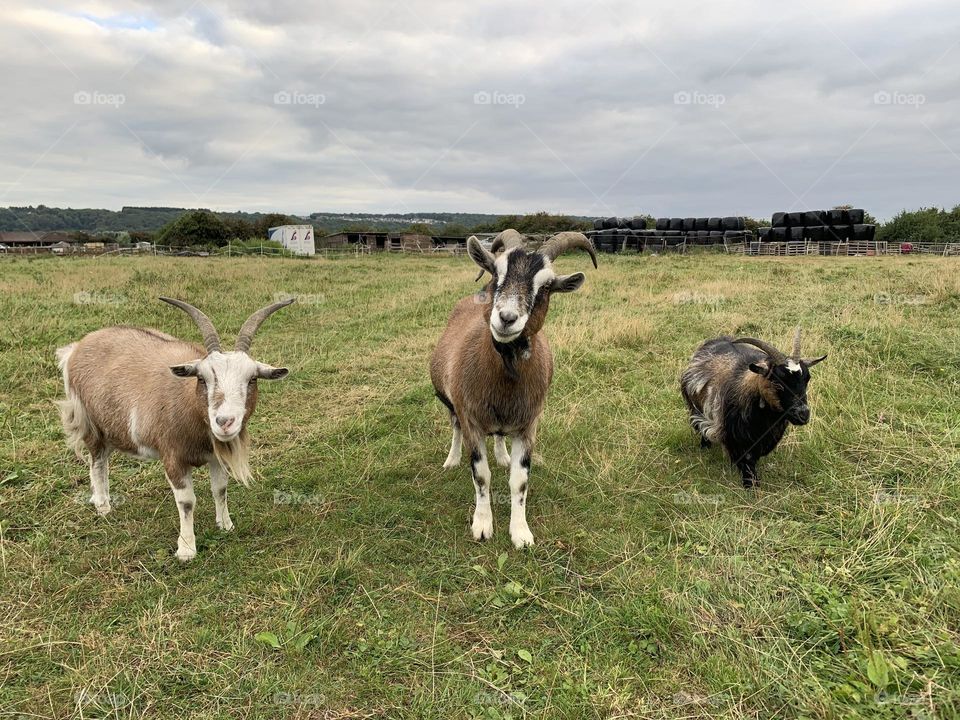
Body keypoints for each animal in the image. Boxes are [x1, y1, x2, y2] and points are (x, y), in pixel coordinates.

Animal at [58, 298, 290, 564]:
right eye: (202, 378)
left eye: (252, 379)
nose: (224, 422)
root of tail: (76, 348)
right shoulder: (172, 457)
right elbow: (187, 502)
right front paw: (187, 549)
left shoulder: (216, 457)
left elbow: (220, 489)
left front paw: (225, 525)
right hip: (89, 422)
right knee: (96, 461)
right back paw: (103, 506)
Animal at [432, 232, 596, 552]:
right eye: (497, 273)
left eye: (546, 286)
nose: (506, 318)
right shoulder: (471, 419)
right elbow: (481, 476)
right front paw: (482, 526)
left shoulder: (528, 424)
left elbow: (519, 481)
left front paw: (521, 533)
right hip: (451, 402)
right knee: (454, 425)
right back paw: (451, 460)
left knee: (497, 435)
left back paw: (502, 455)